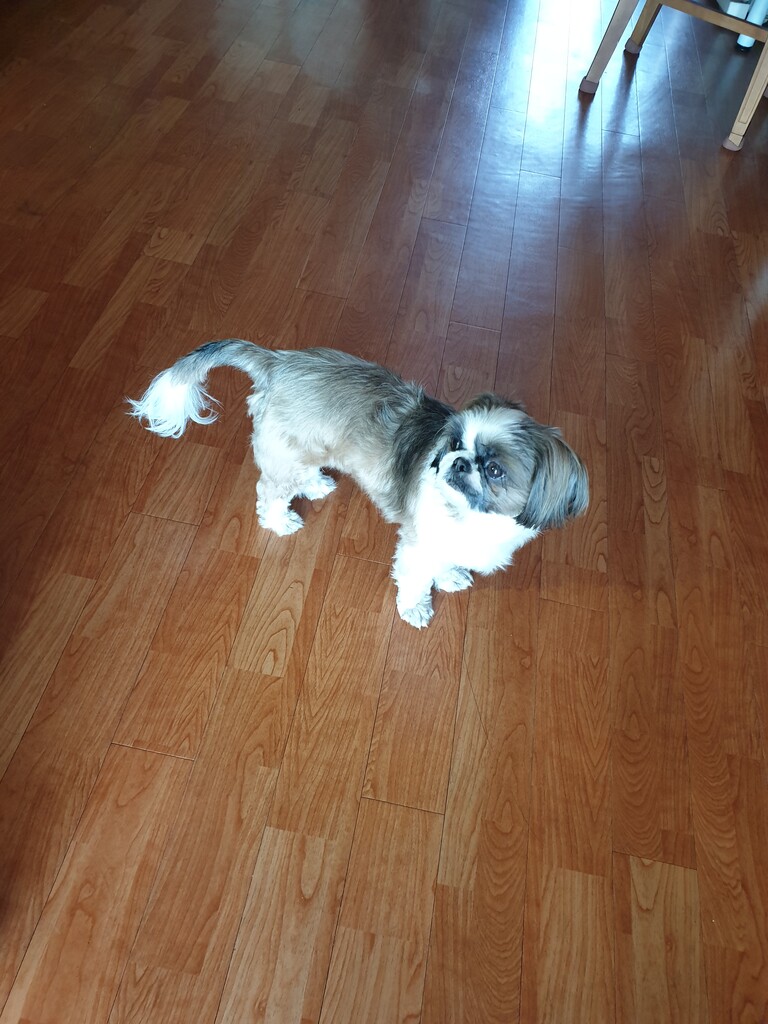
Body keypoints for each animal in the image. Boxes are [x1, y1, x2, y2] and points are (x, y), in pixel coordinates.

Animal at [128, 340, 588, 627]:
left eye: (494, 470)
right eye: (455, 443)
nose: (458, 462)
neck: (471, 517)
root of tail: (279, 362)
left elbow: (444, 564)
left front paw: (450, 577)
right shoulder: (419, 543)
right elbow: (416, 579)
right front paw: (416, 608)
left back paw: (315, 486)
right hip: (287, 455)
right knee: (268, 493)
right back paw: (280, 521)